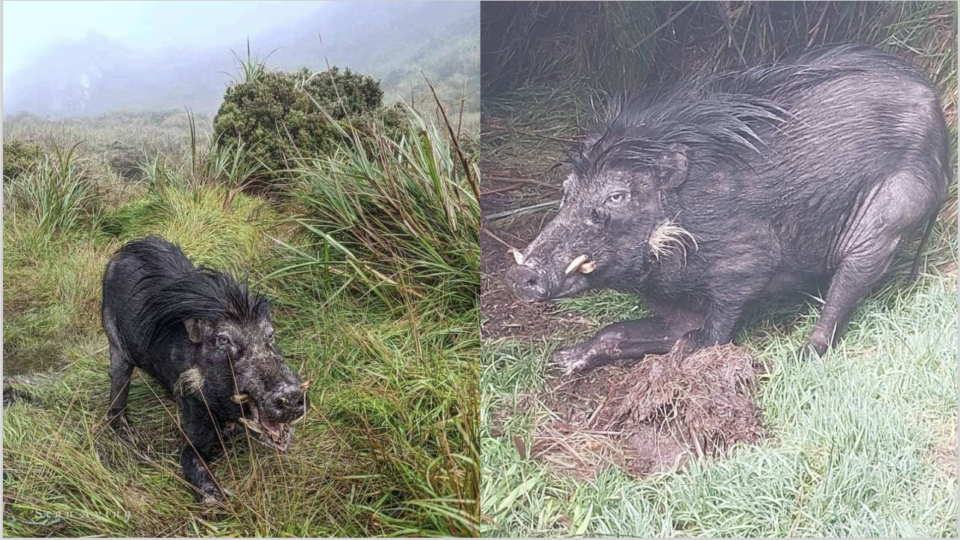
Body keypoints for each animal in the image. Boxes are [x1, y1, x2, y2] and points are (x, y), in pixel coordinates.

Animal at [101, 236, 306, 502]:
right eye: (223, 340)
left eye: (270, 335)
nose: (290, 394)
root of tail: (125, 249)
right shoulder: (192, 418)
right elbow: (190, 458)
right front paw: (219, 498)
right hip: (114, 343)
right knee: (118, 383)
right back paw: (124, 431)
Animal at [506, 44, 948, 376]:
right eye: (566, 191)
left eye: (616, 196)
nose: (521, 275)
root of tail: (938, 111)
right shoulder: (676, 302)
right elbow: (620, 332)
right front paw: (561, 360)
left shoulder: (742, 269)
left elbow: (706, 337)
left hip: (884, 224)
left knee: (844, 293)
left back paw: (800, 357)